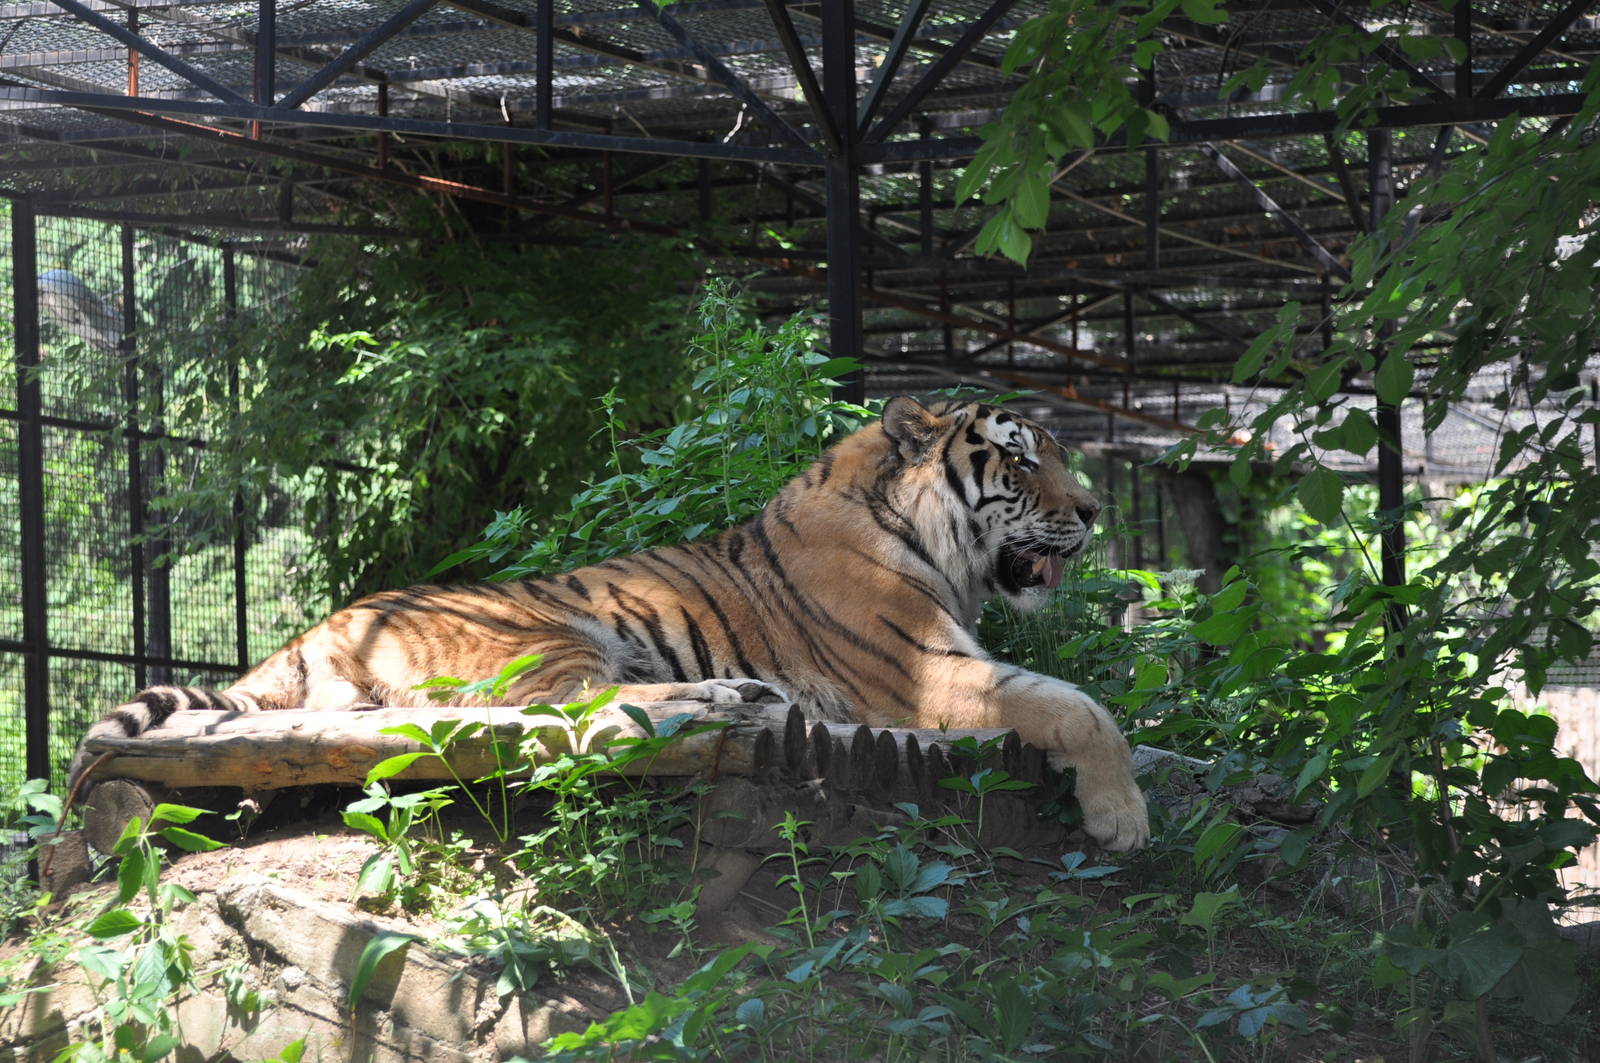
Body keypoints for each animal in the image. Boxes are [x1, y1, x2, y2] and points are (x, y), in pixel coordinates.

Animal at [69, 397, 1150, 851]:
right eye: (1023, 460)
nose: (1098, 509)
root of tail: (325, 625)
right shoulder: (923, 673)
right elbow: (1082, 706)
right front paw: (1123, 818)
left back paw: (742, 689)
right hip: (554, 632)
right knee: (559, 716)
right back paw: (731, 690)